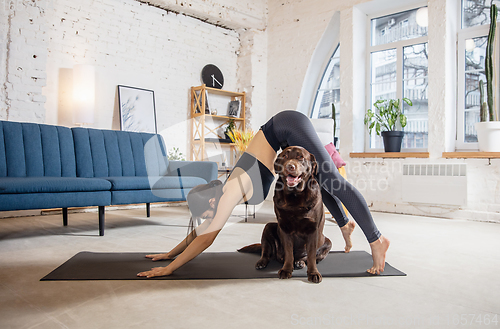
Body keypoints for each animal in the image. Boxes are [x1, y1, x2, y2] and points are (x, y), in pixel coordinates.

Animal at [239, 146, 332, 282]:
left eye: (300, 157)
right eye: (285, 156)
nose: (290, 166)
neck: (295, 195)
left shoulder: (313, 229)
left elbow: (311, 256)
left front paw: (313, 273)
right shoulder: (284, 228)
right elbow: (288, 252)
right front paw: (286, 270)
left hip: (328, 242)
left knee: (309, 257)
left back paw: (300, 262)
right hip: (268, 227)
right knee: (265, 251)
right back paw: (262, 262)